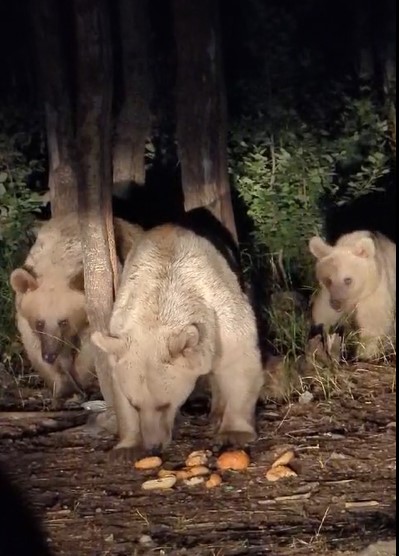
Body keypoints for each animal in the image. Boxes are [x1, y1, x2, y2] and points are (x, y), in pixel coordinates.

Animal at [9, 213, 145, 400]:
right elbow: (33, 346)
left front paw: (81, 383)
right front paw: (60, 385)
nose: (49, 355)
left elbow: (91, 350)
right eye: (39, 322)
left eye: (63, 321)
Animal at [92, 224, 264, 458]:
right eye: (135, 405)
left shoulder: (221, 313)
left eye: (164, 405)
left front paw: (234, 432)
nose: (153, 446)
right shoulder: (121, 324)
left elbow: (238, 362)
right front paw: (127, 446)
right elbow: (117, 381)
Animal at [310, 229, 396, 360]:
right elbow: (323, 315)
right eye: (328, 280)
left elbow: (374, 323)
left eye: (348, 280)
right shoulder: (328, 295)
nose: (336, 304)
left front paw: (364, 353)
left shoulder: (373, 293)